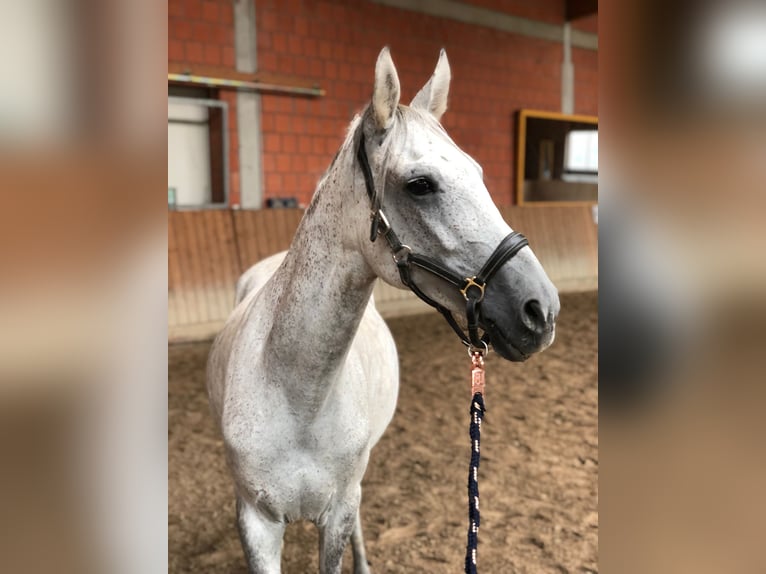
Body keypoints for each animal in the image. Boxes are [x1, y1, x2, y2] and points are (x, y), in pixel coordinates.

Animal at [207, 47, 560, 572]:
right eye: (420, 184)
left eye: (478, 174)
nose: (541, 309)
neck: (296, 396)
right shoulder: (256, 524)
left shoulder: (336, 511)